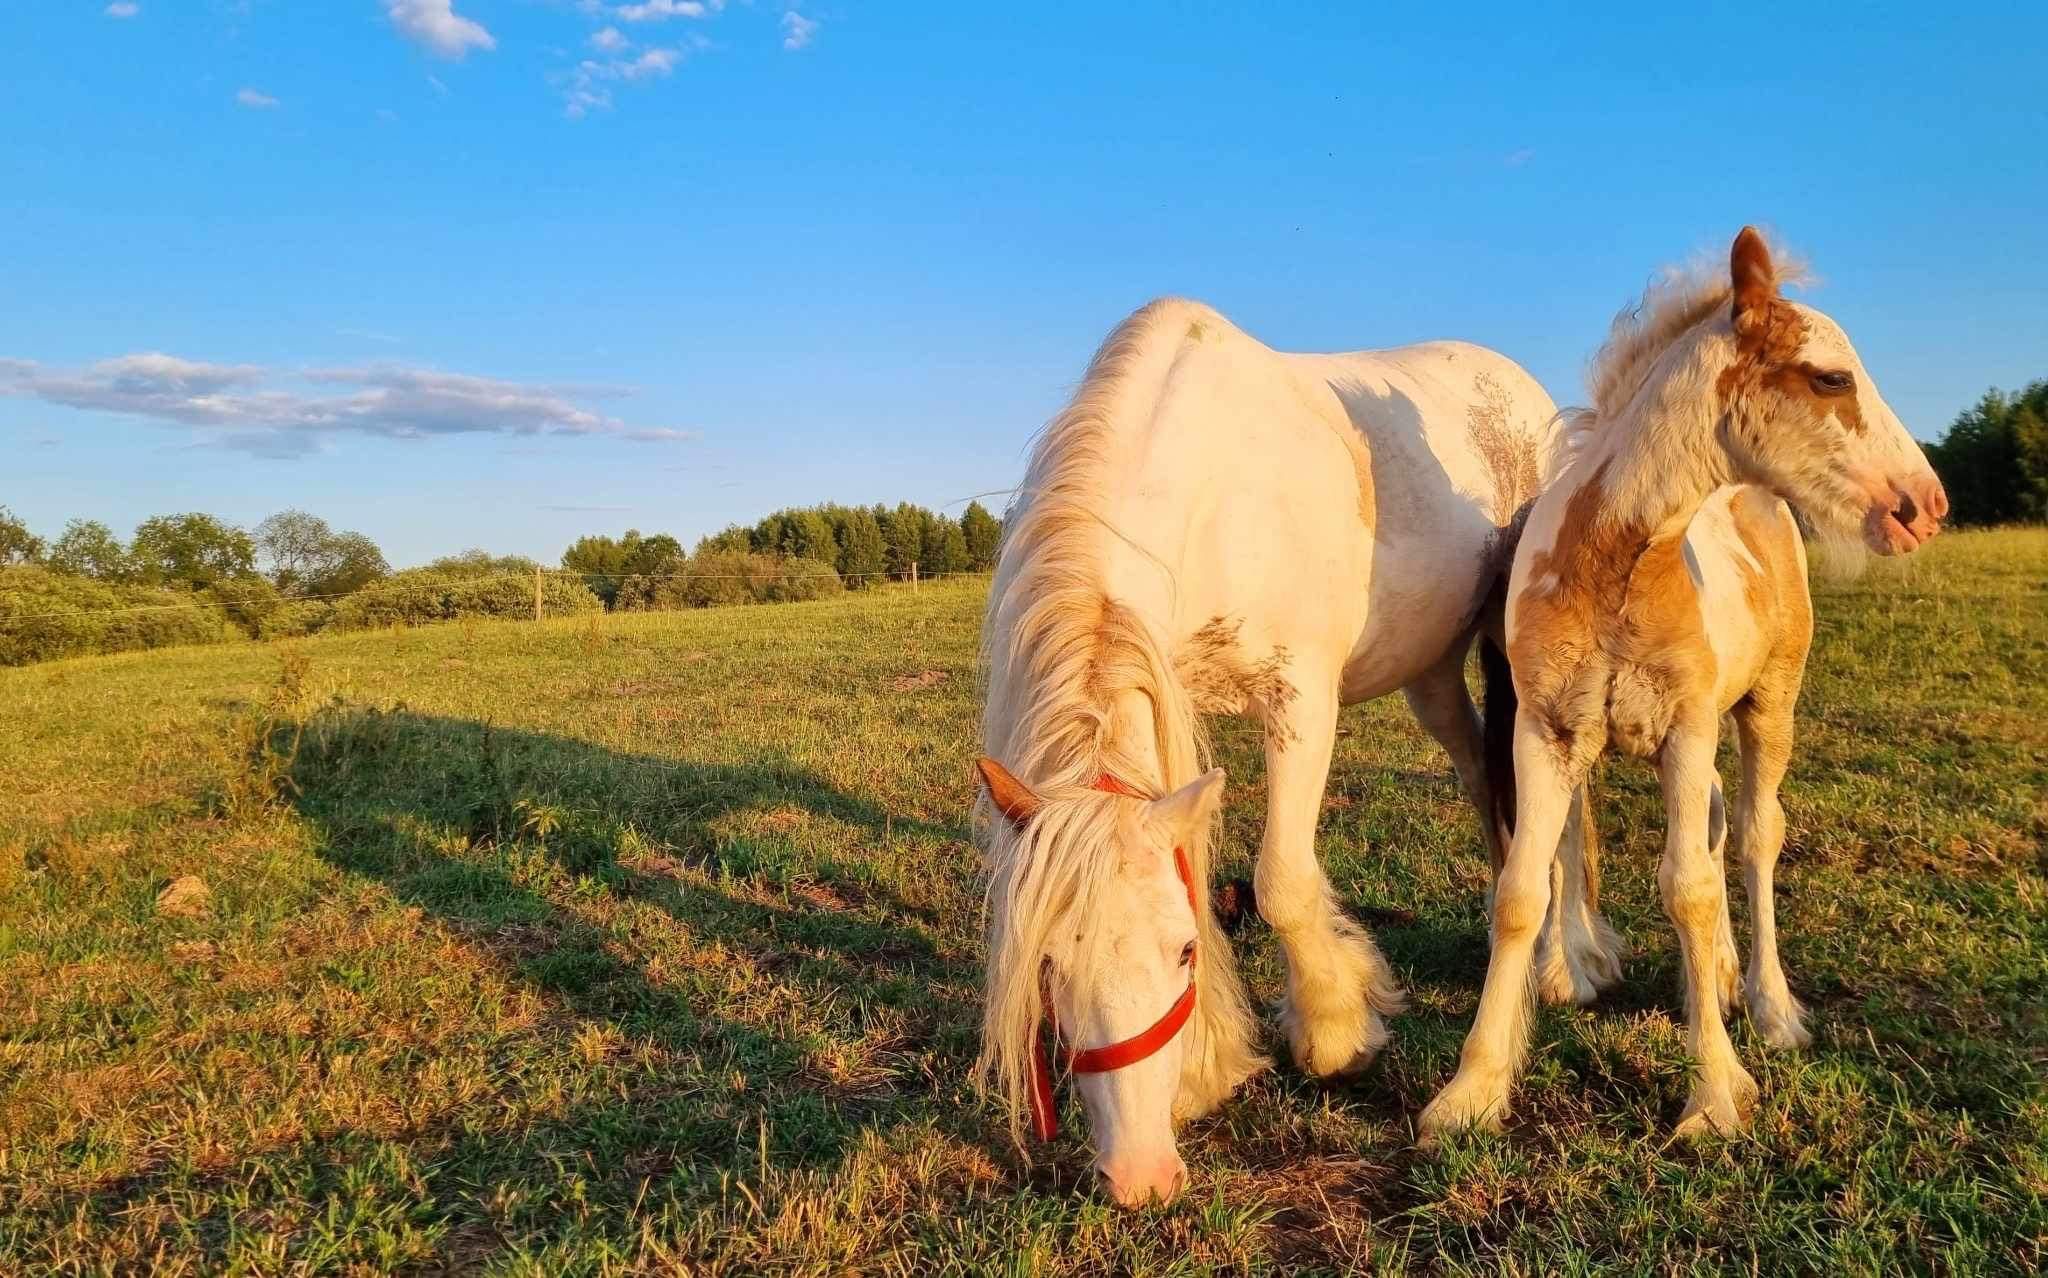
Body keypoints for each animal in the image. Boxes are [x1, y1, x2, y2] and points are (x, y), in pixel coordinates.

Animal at [974, 294, 1613, 1204]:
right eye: (1050, 967)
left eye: (1181, 952)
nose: (1137, 1175)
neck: (1213, 489)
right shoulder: (1167, 696)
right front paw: (1210, 1064)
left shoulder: (1301, 699)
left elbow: (1280, 880)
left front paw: (1338, 1030)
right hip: (1432, 677)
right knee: (1485, 788)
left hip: (1526, 655)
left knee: (1562, 803)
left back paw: (1572, 962)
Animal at [1417, 229, 1957, 1138]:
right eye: (1831, 378)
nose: (1925, 506)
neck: (1619, 569)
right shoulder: (1547, 731)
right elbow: (1522, 889)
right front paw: (1473, 1089)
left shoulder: (1688, 726)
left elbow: (1692, 890)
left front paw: (1715, 1091)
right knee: (1709, 823)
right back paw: (1724, 978)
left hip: (1768, 705)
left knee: (1753, 836)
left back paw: (1770, 1008)